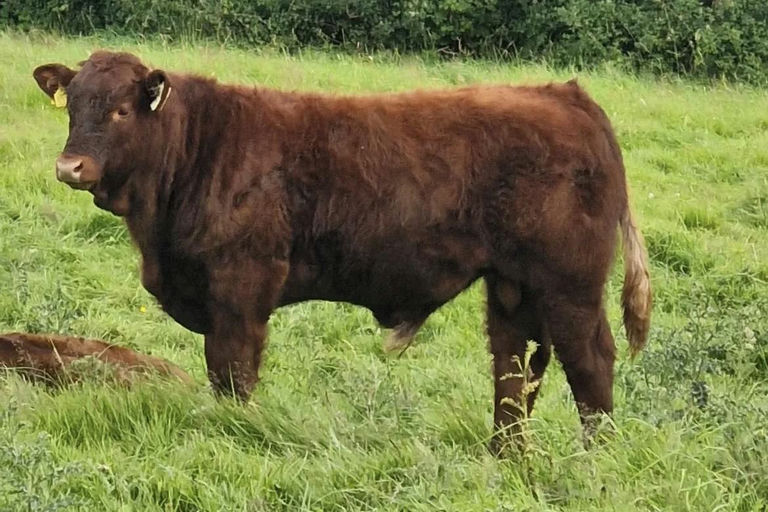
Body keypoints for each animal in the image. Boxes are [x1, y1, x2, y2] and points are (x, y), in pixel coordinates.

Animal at [32, 51, 651, 447]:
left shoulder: (240, 289)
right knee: (514, 370)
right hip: (511, 288)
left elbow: (232, 375)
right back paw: (504, 458)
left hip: (569, 287)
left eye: (121, 109)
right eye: (73, 106)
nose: (70, 167)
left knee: (590, 365)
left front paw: (236, 433)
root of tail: (565, 95)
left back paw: (593, 460)